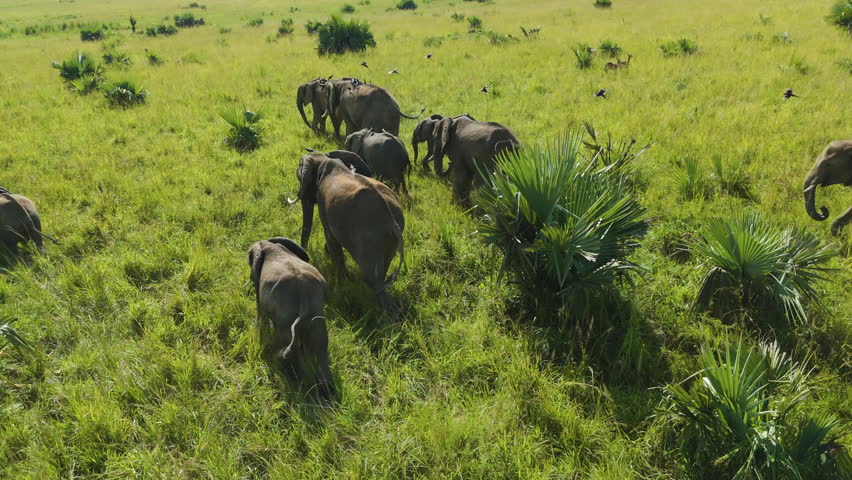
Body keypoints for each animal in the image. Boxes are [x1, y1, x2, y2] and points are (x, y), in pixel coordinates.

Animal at [290, 149, 405, 313]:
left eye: (300, 179)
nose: (306, 257)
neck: (324, 158)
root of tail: (391, 221)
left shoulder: (324, 204)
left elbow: (331, 239)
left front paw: (341, 285)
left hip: (370, 238)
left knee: (371, 278)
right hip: (389, 238)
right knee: (381, 272)